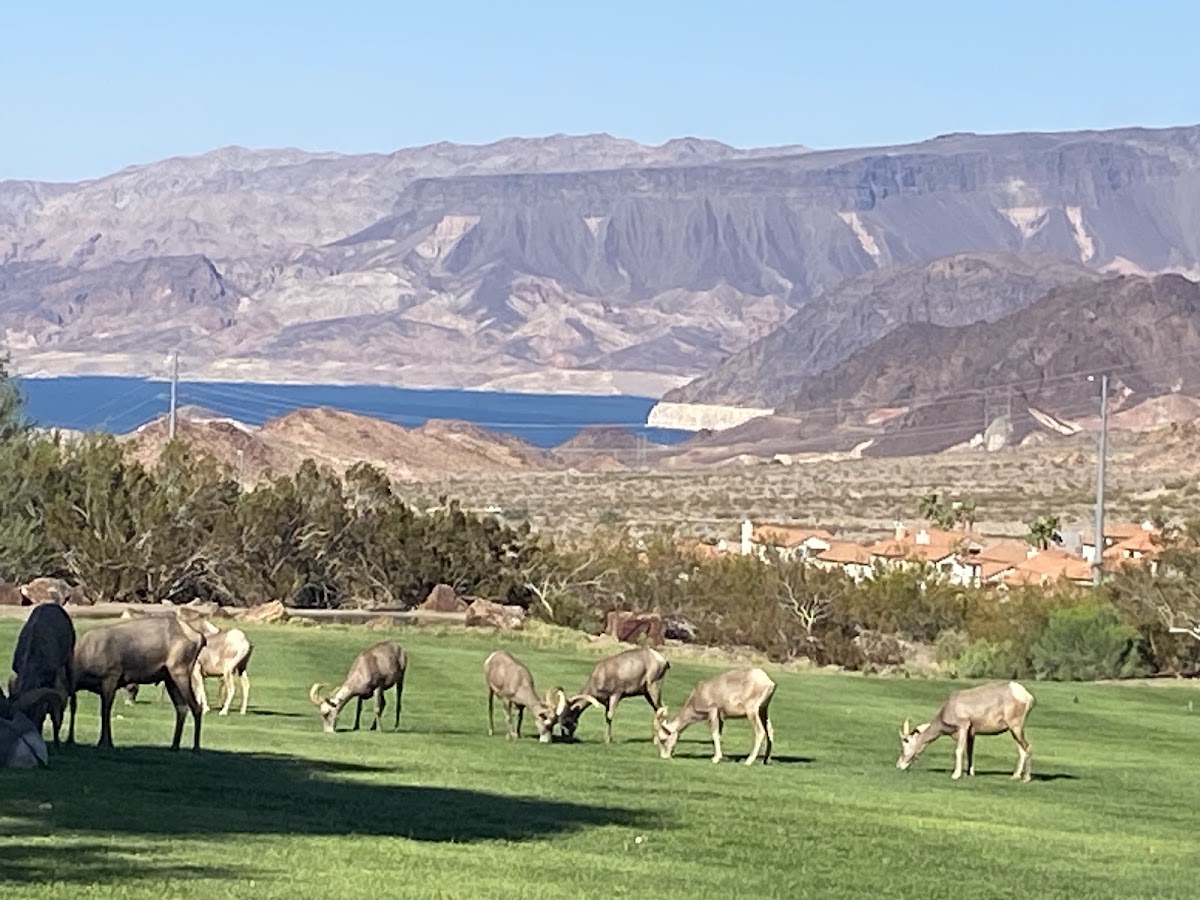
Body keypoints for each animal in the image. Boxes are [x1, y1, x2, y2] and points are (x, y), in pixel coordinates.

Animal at [896, 680, 1036, 781]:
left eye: (906, 742)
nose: (899, 766)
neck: (948, 709)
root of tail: (1026, 696)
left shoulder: (963, 727)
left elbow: (959, 750)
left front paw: (955, 775)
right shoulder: (971, 734)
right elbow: (969, 752)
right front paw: (970, 773)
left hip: (1015, 727)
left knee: (1028, 746)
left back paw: (1026, 778)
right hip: (1013, 730)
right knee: (1021, 750)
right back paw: (1015, 776)